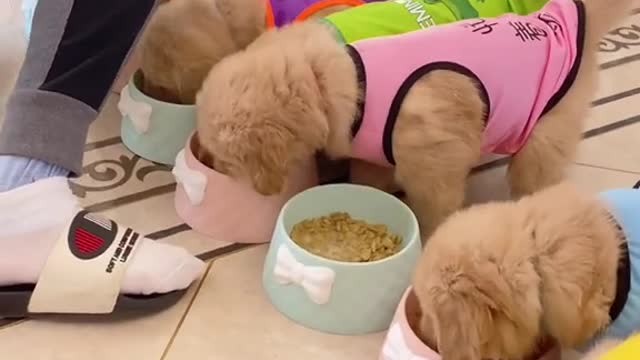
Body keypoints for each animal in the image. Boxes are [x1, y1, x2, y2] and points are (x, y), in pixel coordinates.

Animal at [198, 0, 632, 235]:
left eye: (227, 158)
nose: (206, 163)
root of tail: (559, 19)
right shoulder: (371, 155)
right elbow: (368, 180)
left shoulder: (434, 162)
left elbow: (438, 207)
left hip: (545, 132)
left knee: (539, 175)